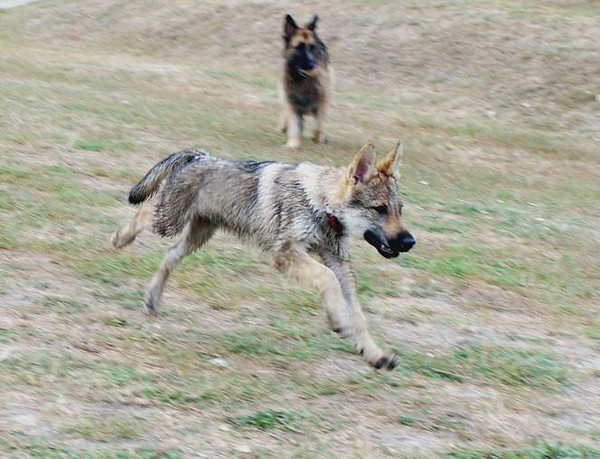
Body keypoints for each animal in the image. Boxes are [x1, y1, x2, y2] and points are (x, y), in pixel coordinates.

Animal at [111, 141, 416, 369]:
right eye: (379, 209)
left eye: (399, 209)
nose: (410, 241)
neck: (320, 203)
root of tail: (199, 156)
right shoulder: (286, 253)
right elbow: (326, 280)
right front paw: (338, 321)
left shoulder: (338, 262)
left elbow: (358, 315)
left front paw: (375, 354)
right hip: (168, 223)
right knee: (145, 211)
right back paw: (120, 237)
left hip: (194, 237)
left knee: (169, 257)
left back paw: (152, 299)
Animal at [279, 14, 331, 149]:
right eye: (299, 47)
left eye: (312, 47)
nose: (313, 65)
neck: (302, 80)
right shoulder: (291, 101)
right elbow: (294, 125)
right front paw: (292, 144)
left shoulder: (322, 101)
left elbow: (319, 126)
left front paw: (317, 139)